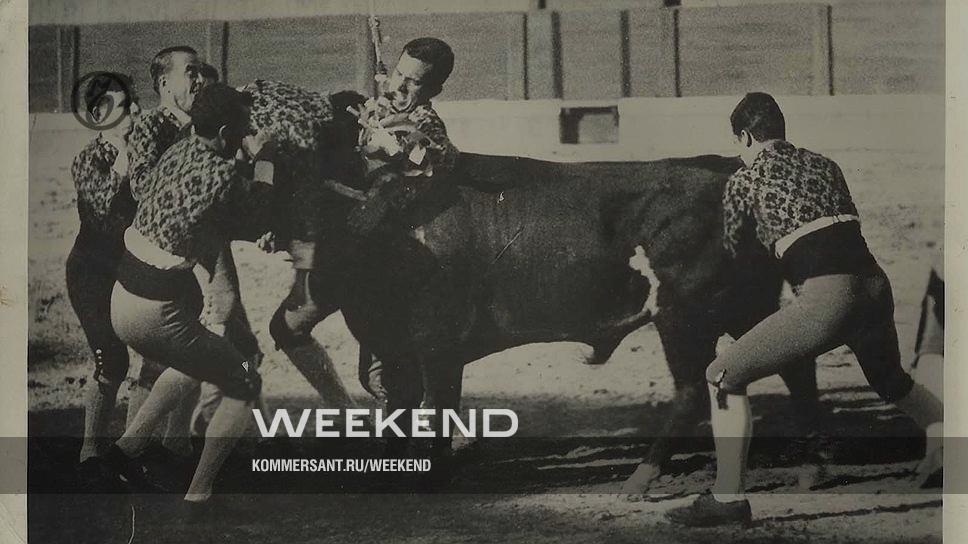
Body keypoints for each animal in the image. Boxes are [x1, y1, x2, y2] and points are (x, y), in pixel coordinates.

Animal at [296, 149, 820, 492]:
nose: (308, 279)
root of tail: (732, 173)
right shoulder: (403, 351)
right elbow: (403, 408)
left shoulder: (437, 348)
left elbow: (435, 408)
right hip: (744, 307)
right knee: (796, 368)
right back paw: (812, 467)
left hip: (685, 317)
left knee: (691, 392)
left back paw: (640, 479)